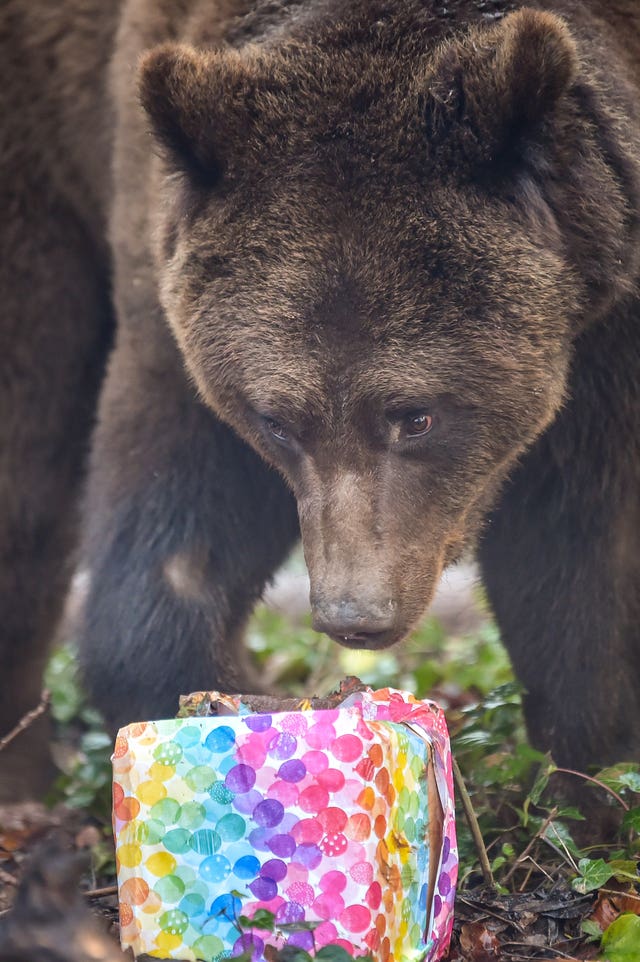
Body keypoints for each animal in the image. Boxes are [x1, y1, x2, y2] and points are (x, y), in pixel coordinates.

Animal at [1, 0, 640, 796]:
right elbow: (174, 515)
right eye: (277, 421)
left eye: (417, 416)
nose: (353, 615)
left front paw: (591, 782)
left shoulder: (605, 319)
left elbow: (575, 549)